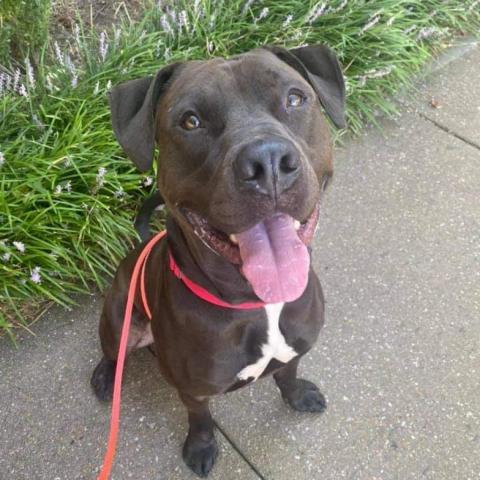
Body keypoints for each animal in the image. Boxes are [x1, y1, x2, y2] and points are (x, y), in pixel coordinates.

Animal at [91, 44, 344, 476]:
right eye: (190, 121)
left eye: (295, 98)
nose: (268, 161)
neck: (260, 303)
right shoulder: (193, 389)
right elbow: (201, 418)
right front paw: (201, 446)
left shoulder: (295, 350)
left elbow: (288, 373)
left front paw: (297, 395)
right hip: (117, 318)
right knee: (113, 351)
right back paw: (107, 377)